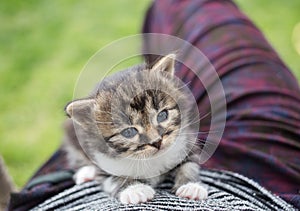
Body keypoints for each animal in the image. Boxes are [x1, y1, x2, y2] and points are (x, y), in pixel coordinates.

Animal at [63, 53, 207, 204]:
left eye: (162, 115)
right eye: (128, 132)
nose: (157, 142)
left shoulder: (185, 141)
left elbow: (189, 165)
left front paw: (191, 186)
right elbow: (114, 177)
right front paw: (134, 189)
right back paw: (86, 172)